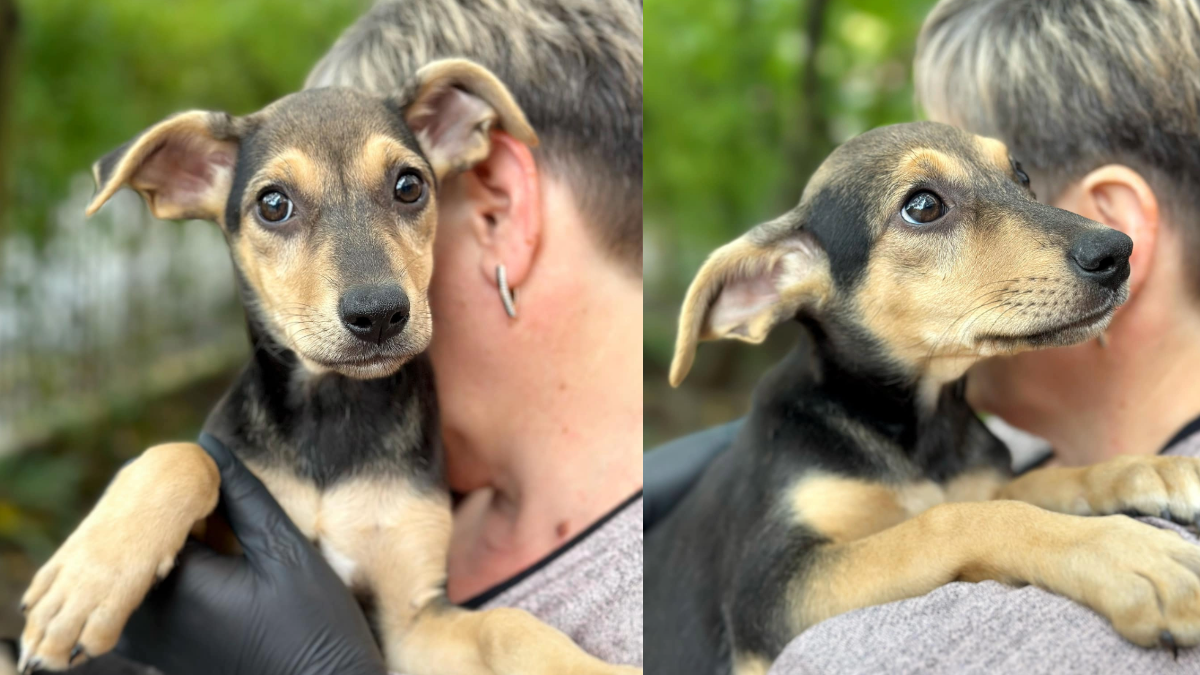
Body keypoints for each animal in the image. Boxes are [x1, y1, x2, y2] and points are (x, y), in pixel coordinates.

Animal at [16, 60, 638, 672]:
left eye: (409, 186)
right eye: (273, 204)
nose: (379, 314)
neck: (333, 406)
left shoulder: (411, 622)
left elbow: (506, 624)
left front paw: (586, 667)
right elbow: (186, 456)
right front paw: (85, 585)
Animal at [648, 120, 1200, 672]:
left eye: (1020, 175)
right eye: (923, 206)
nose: (1117, 252)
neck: (914, 430)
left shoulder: (979, 482)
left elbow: (1039, 482)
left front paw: (1151, 470)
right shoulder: (769, 590)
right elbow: (950, 520)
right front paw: (1126, 553)